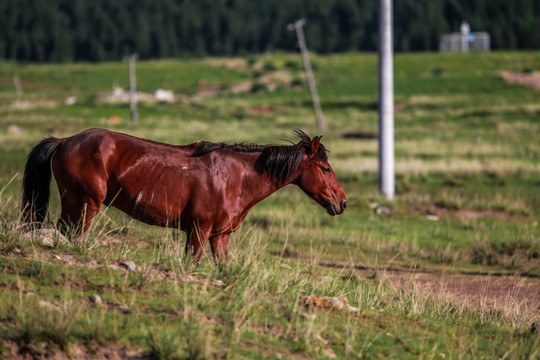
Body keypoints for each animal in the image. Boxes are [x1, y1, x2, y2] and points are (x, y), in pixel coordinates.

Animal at [22, 129, 346, 262]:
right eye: (325, 168)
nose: (341, 202)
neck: (235, 177)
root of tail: (64, 141)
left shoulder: (219, 237)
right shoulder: (198, 231)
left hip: (73, 204)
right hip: (86, 204)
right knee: (73, 235)